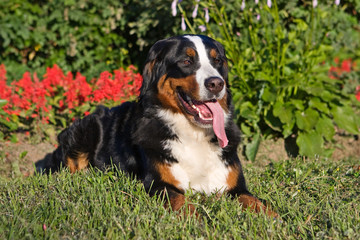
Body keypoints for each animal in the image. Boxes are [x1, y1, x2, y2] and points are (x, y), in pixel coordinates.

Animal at [37, 34, 278, 219]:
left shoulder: (235, 186)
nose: (216, 83)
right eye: (186, 61)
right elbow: (181, 201)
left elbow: (255, 201)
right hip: (83, 132)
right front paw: (197, 220)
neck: (194, 134)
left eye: (217, 60)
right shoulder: (158, 184)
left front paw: (275, 218)